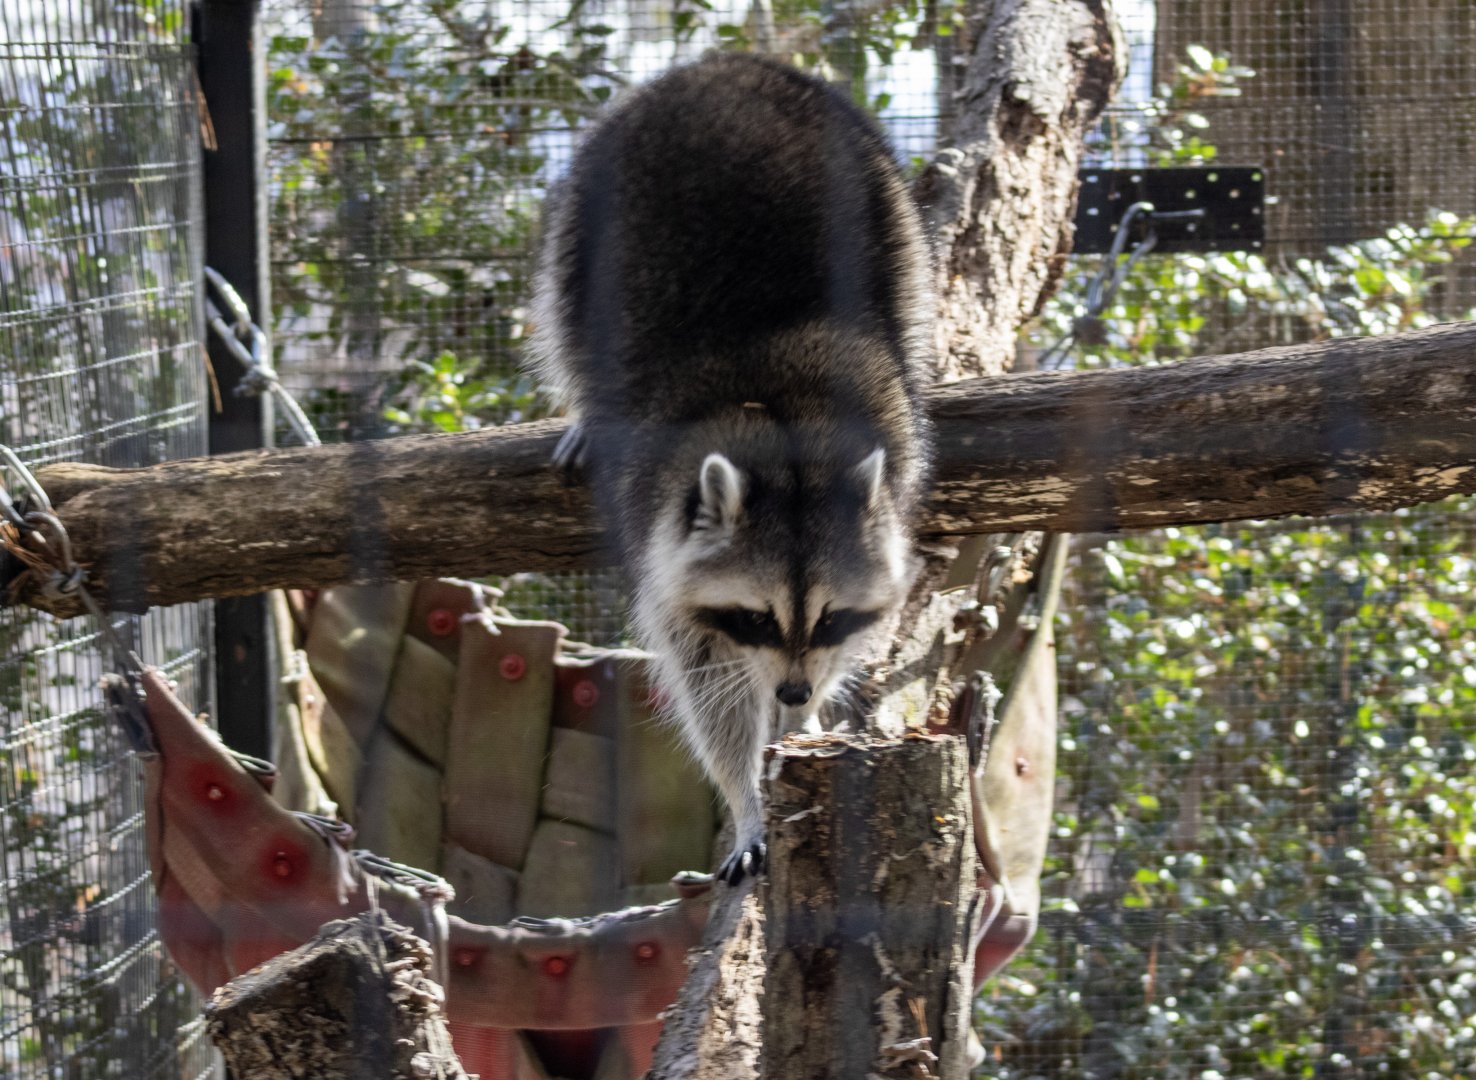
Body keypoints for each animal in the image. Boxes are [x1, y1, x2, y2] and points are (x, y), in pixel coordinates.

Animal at [529, 53, 933, 883]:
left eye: (830, 615)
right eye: (756, 617)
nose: (793, 691)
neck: (783, 429)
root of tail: (723, 63)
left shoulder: (898, 455)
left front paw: (799, 720)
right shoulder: (653, 523)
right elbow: (706, 685)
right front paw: (745, 791)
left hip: (888, 203)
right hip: (587, 201)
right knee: (567, 317)